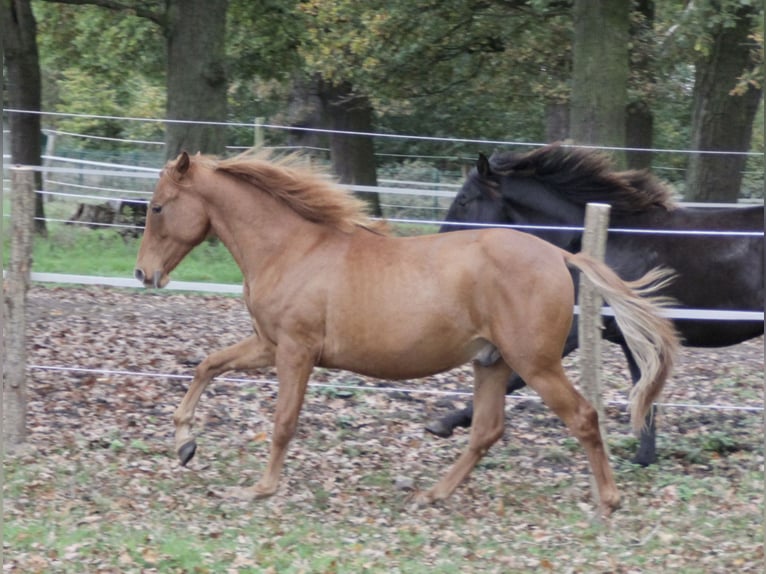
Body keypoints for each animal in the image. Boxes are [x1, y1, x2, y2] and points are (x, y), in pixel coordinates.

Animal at [135, 152, 680, 516]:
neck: (292, 248)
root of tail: (560, 254)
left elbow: (284, 422)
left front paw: (258, 489)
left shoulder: (295, 351)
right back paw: (431, 494)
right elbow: (208, 365)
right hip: (492, 362)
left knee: (583, 418)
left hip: (536, 364)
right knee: (486, 430)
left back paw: (608, 501)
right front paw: (184, 444)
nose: (143, 274)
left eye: (158, 207)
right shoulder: (268, 346)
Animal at [428, 145, 764, 468]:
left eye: (463, 200)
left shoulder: (576, 330)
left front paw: (444, 423)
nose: (439, 248)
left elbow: (516, 377)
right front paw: (644, 458)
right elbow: (644, 391)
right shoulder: (632, 338)